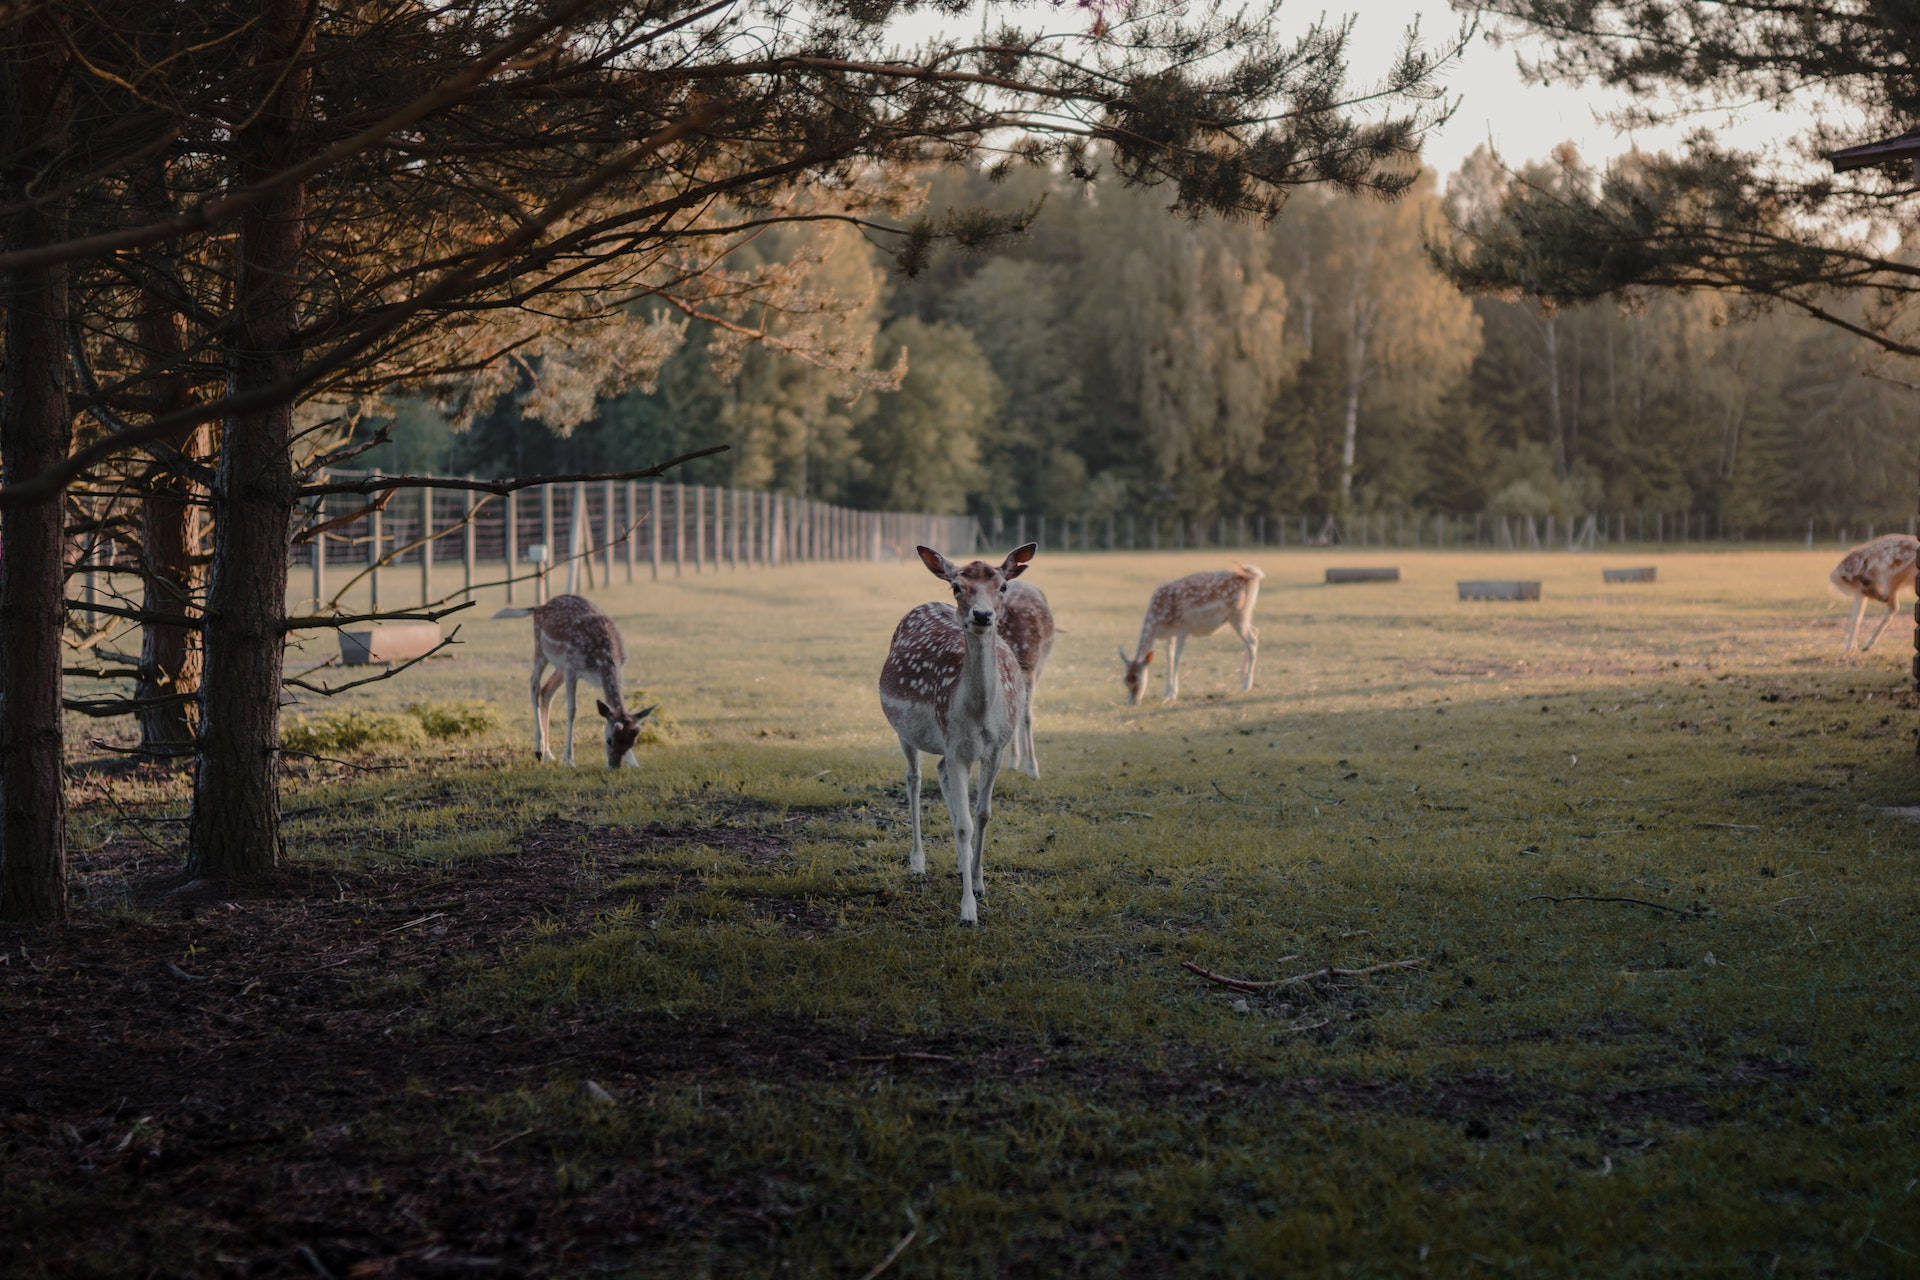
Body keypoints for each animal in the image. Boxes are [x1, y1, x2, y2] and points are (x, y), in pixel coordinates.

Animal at [491, 594, 656, 767]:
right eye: (609, 740)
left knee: (546, 690)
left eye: (632, 743)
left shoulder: (617, 669)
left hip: (560, 665)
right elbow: (572, 710)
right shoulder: (572, 669)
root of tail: (538, 608)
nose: (614, 766)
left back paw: (548, 754)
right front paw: (569, 760)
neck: (602, 660)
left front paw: (634, 762)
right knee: (534, 683)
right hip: (541, 650)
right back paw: (538, 750)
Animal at [879, 541, 1036, 921]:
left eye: (1003, 586)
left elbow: (982, 814)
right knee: (914, 778)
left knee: (938, 773)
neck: (979, 715)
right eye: (956, 587)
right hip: (905, 731)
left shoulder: (995, 748)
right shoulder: (954, 745)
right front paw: (968, 910)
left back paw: (960, 865)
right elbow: (965, 823)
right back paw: (917, 862)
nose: (982, 615)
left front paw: (978, 882)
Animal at [1121, 564, 1267, 706]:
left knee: (1252, 640)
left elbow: (1176, 658)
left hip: (1238, 614)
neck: (1158, 622)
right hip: (1244, 614)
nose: (1132, 703)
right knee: (1255, 632)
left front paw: (1172, 694)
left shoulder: (1183, 628)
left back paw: (1246, 685)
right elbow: (1169, 657)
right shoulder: (1170, 634)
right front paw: (1166, 691)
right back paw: (1242, 680)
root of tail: (1255, 576)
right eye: (1125, 680)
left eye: (1138, 680)